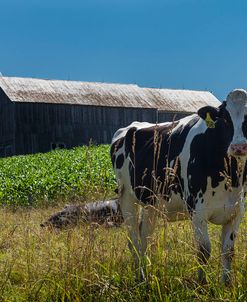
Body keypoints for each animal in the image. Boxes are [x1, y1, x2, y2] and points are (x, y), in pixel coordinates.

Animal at [110, 88, 247, 284]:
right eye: (225, 119)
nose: (239, 147)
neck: (231, 177)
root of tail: (129, 128)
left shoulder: (236, 211)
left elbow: (228, 251)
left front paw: (226, 284)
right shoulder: (197, 209)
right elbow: (204, 250)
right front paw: (201, 284)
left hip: (152, 202)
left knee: (145, 237)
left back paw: (147, 276)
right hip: (126, 197)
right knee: (134, 240)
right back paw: (140, 277)